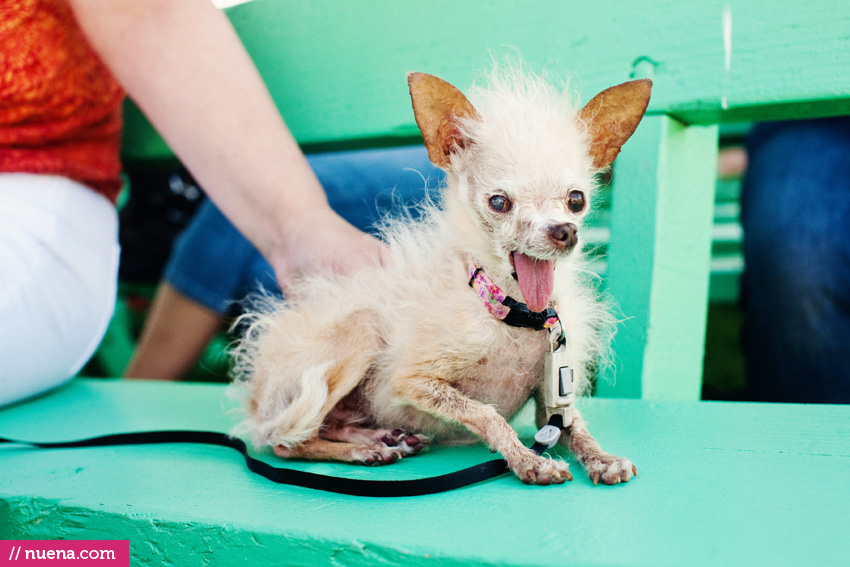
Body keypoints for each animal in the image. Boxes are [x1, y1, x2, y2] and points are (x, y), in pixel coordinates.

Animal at [232, 64, 648, 486]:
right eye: (499, 202)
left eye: (576, 200)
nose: (564, 231)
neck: (513, 314)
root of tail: (257, 398)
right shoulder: (412, 382)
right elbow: (485, 413)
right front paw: (528, 460)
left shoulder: (550, 403)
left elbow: (576, 427)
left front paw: (602, 458)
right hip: (360, 331)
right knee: (287, 441)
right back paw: (363, 451)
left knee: (327, 425)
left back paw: (381, 437)